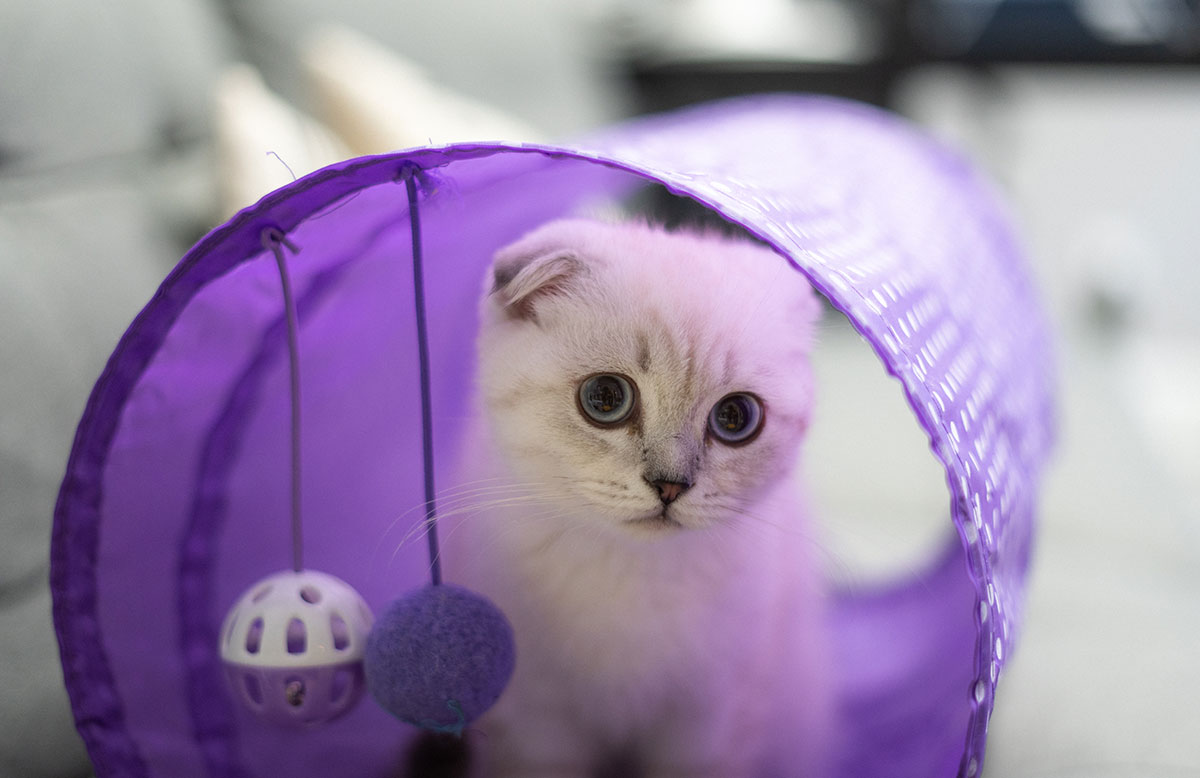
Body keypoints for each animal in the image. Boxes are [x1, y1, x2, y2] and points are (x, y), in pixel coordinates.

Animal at [442, 218, 836, 778]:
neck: (628, 573)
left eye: (735, 417)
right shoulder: (536, 719)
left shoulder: (712, 716)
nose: (670, 485)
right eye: (605, 398)